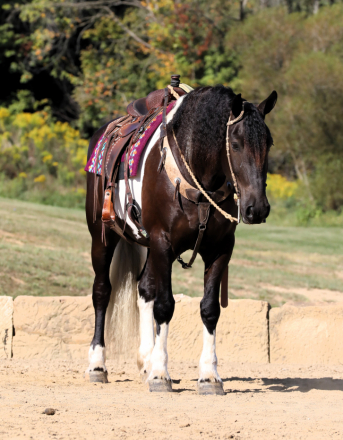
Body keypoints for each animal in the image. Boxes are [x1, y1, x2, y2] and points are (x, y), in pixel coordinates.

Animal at [84, 84, 278, 394]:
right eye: (236, 144)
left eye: (268, 143)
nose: (257, 208)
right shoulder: (163, 242)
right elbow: (165, 306)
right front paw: (161, 374)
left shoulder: (220, 248)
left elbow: (209, 309)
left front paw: (209, 375)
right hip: (102, 237)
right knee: (102, 292)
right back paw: (97, 365)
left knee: (144, 289)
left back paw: (146, 359)